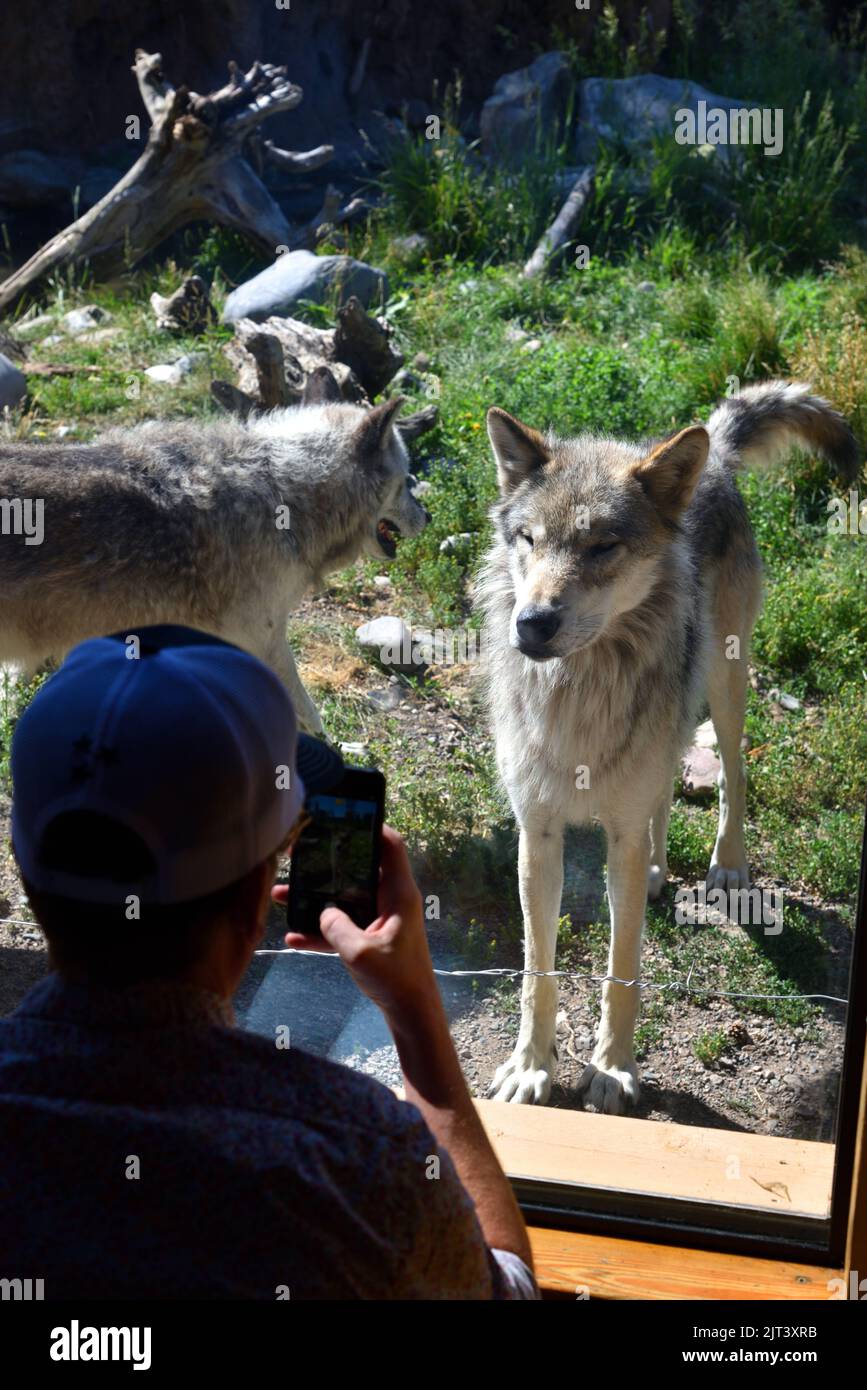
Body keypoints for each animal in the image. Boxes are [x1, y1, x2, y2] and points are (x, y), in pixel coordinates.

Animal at [476, 381, 858, 1113]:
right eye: (528, 539)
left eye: (602, 546)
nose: (531, 623)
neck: (578, 692)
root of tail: (711, 452)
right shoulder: (536, 832)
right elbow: (538, 971)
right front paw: (530, 1068)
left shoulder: (615, 833)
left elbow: (622, 966)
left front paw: (612, 1070)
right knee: (662, 790)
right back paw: (656, 871)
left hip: (724, 683)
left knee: (732, 773)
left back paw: (727, 865)